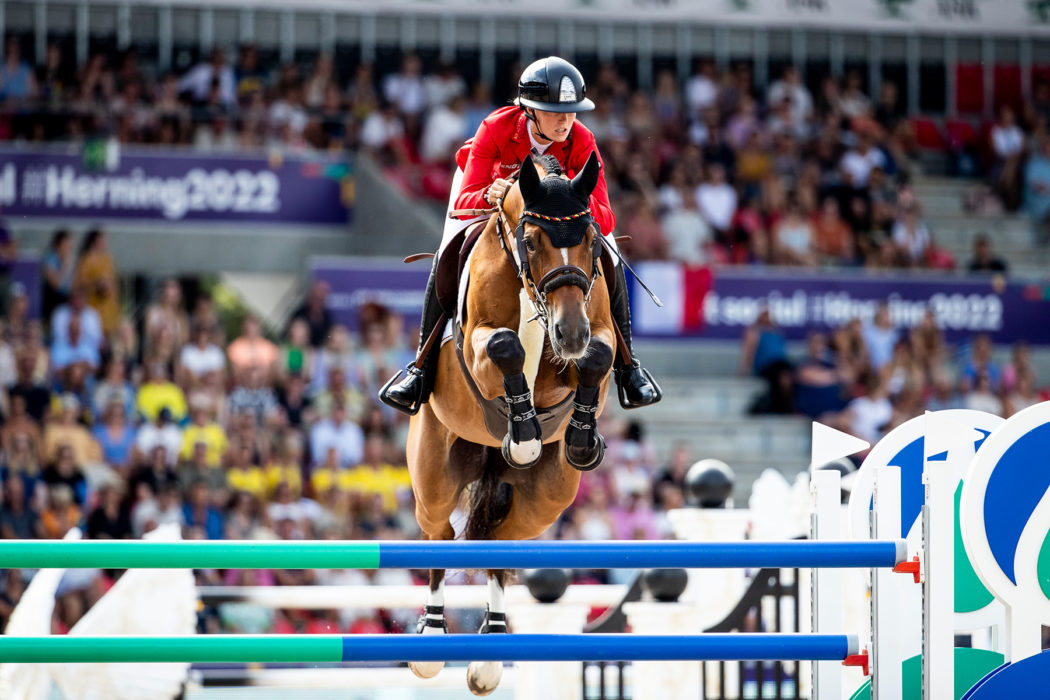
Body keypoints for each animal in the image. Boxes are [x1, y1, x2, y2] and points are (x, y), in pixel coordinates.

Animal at [403, 152, 613, 696]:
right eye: (533, 241)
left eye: (589, 240)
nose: (569, 332)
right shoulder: (479, 349)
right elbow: (505, 345)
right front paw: (522, 436)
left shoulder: (595, 332)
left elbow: (599, 356)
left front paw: (578, 437)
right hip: (434, 477)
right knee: (440, 536)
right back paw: (432, 636)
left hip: (545, 500)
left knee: (501, 540)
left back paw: (491, 651)